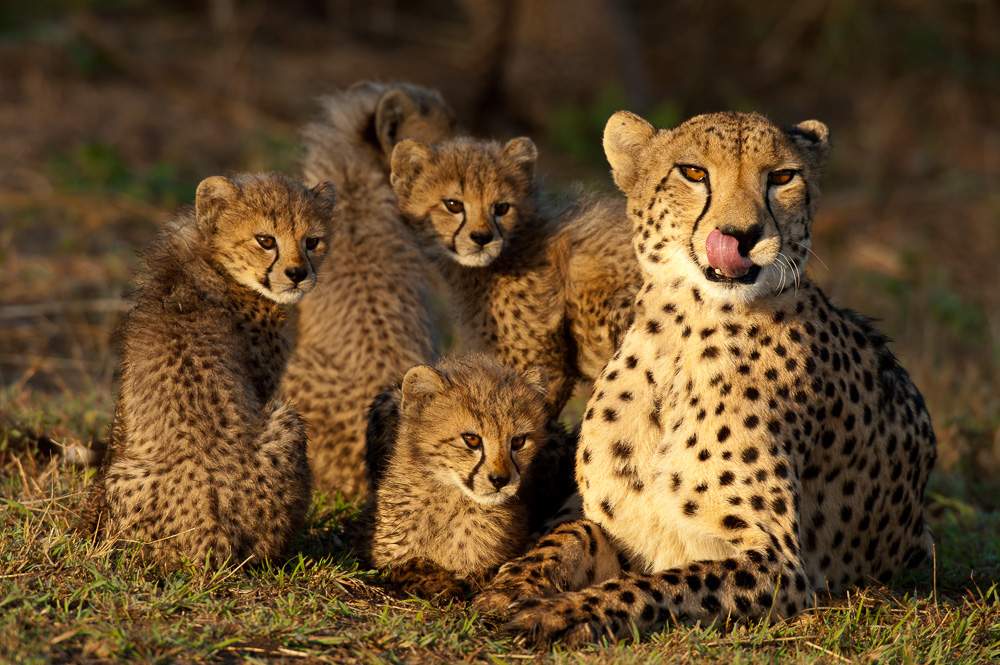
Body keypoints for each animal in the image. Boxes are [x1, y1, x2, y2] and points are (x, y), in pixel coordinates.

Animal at [476, 110, 936, 644]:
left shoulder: (778, 564)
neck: (687, 329)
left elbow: (656, 587)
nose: (742, 234)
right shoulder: (611, 522)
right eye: (694, 173)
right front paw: (511, 586)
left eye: (782, 177)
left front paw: (565, 612)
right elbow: (562, 539)